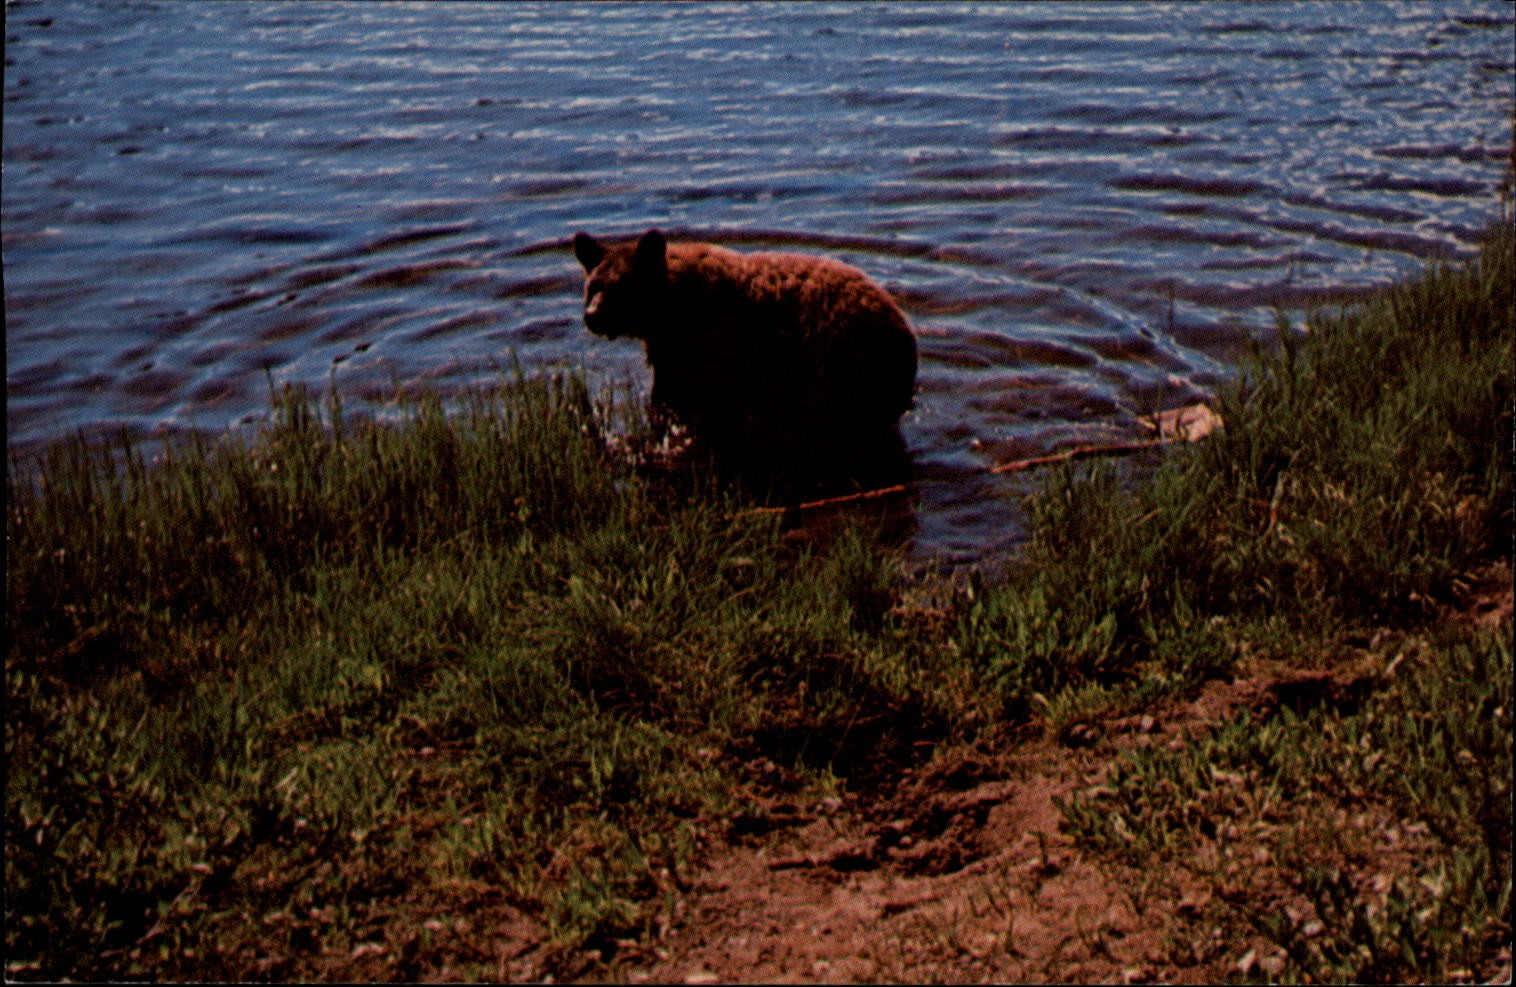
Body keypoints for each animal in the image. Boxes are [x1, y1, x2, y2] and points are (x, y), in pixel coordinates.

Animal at [572, 228, 917, 469]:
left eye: (620, 287)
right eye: (593, 285)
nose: (592, 316)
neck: (669, 309)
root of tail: (904, 328)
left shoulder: (707, 347)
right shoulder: (671, 351)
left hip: (841, 363)